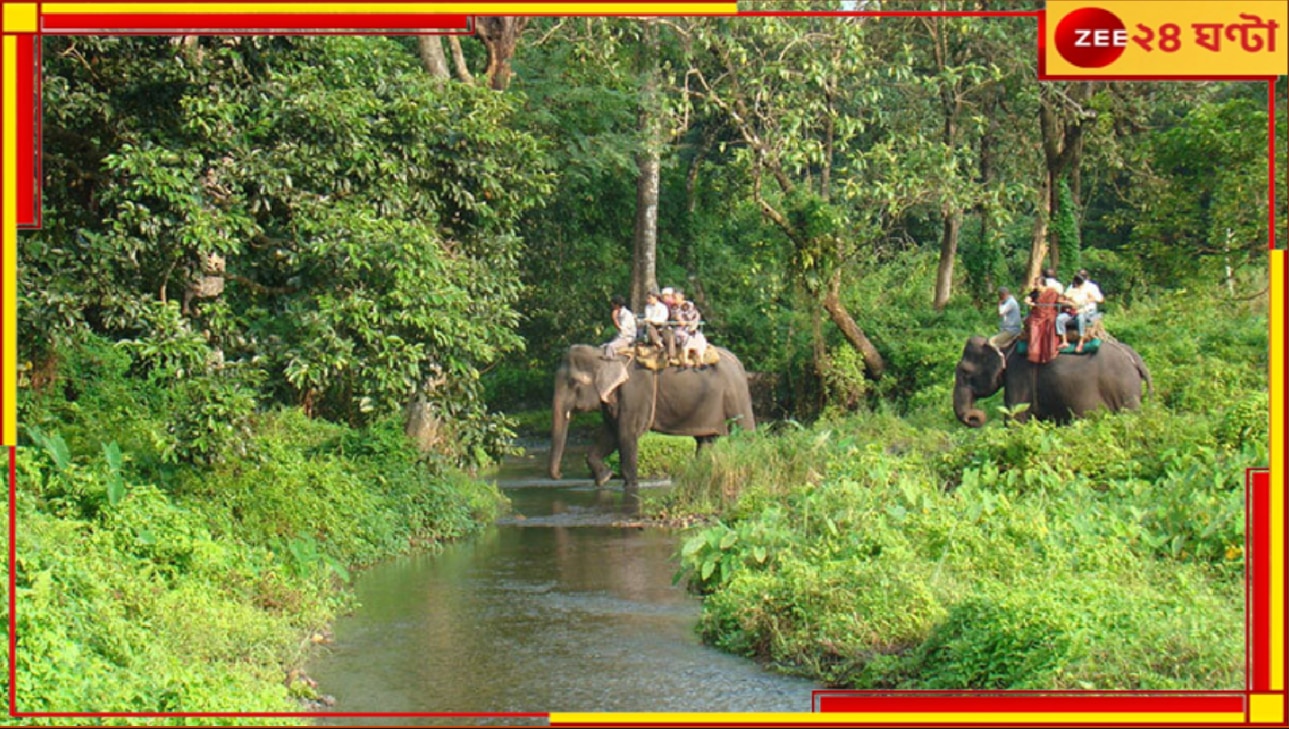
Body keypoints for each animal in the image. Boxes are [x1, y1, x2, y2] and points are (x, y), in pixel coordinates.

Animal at [546, 347, 752, 492]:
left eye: (573, 382)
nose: (560, 474)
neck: (604, 354)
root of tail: (738, 363)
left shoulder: (635, 394)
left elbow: (627, 434)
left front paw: (630, 487)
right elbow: (610, 434)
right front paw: (605, 477)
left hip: (736, 397)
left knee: (744, 435)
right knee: (706, 441)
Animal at [953, 337, 1154, 427]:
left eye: (964, 372)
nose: (975, 416)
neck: (1004, 345)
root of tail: (1135, 359)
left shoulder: (1019, 375)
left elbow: (1016, 419)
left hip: (1125, 390)